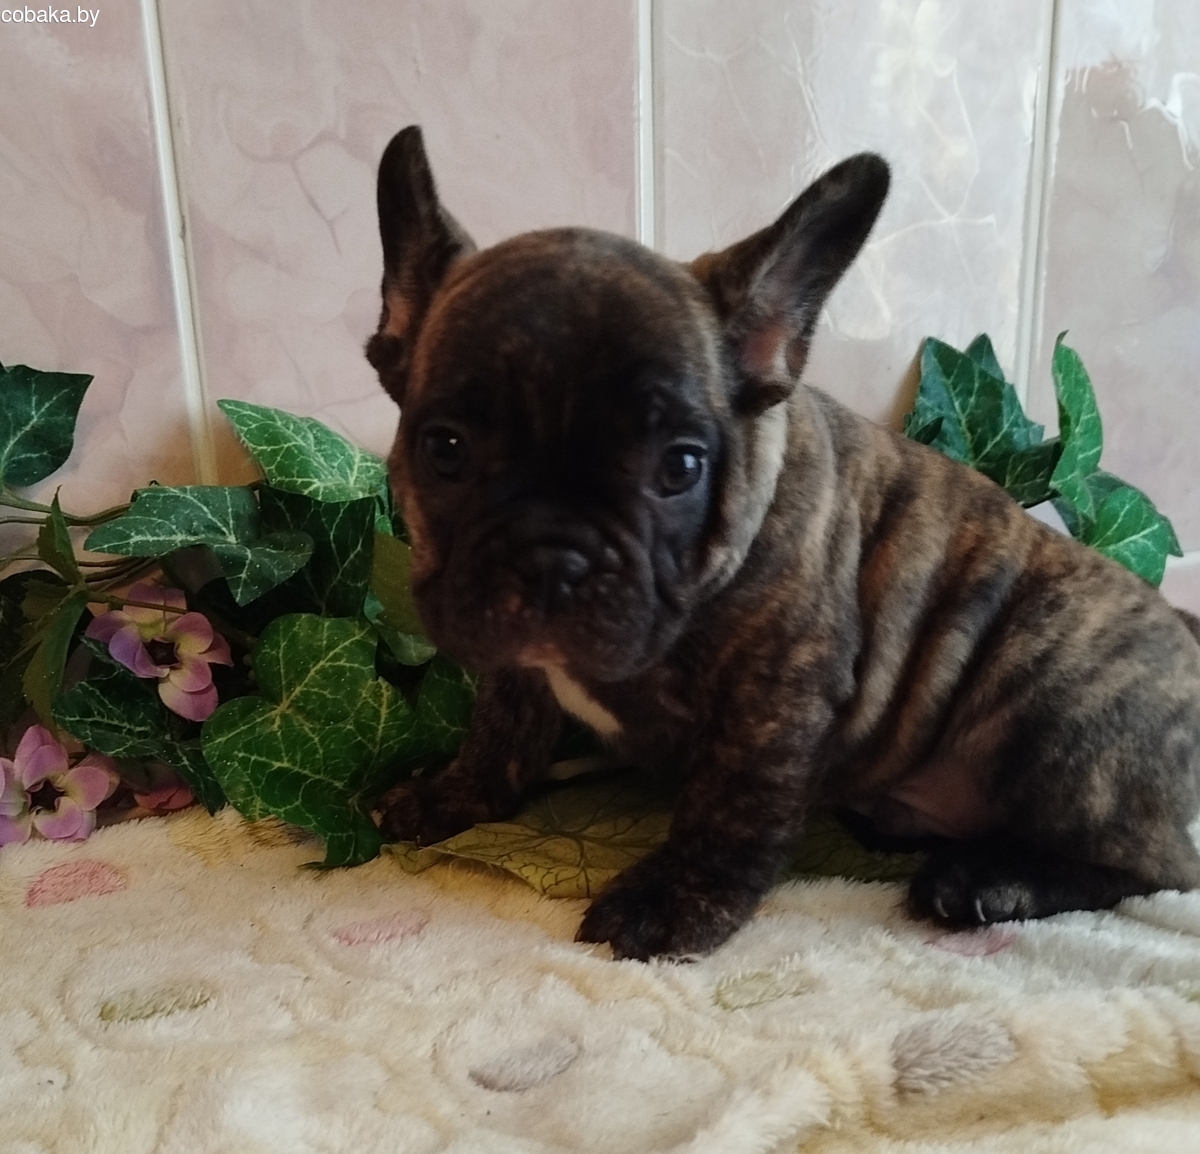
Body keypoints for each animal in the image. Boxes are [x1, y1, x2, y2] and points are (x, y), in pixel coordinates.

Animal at [365, 126, 1200, 961]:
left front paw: (674, 898)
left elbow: (733, 799)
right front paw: (451, 793)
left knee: (1154, 866)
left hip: (1048, 704)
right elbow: (500, 727)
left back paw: (991, 881)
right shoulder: (515, 662)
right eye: (444, 449)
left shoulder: (778, 689)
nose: (551, 557)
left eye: (680, 466)